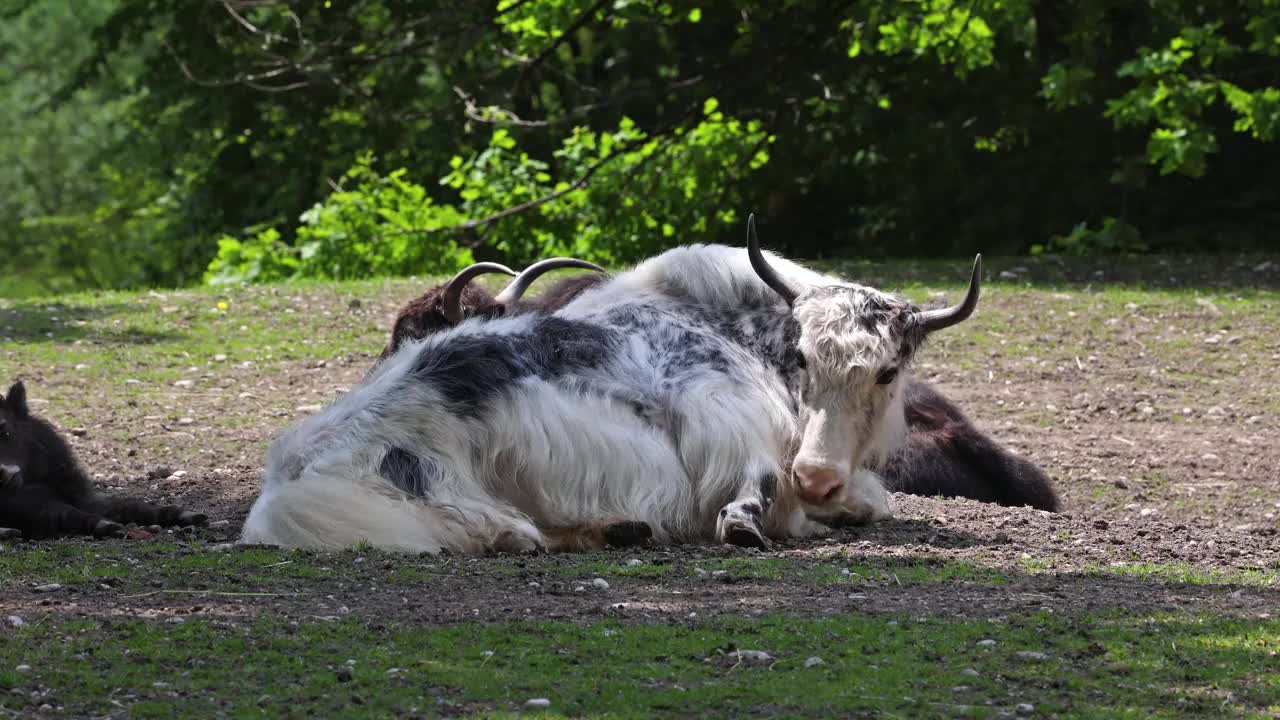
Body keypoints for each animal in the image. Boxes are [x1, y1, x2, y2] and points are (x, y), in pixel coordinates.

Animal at [0, 381, 207, 538]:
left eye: (7, 431)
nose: (4, 474)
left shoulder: (84, 497)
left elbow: (131, 506)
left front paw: (190, 515)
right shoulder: (28, 507)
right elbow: (66, 513)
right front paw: (108, 526)